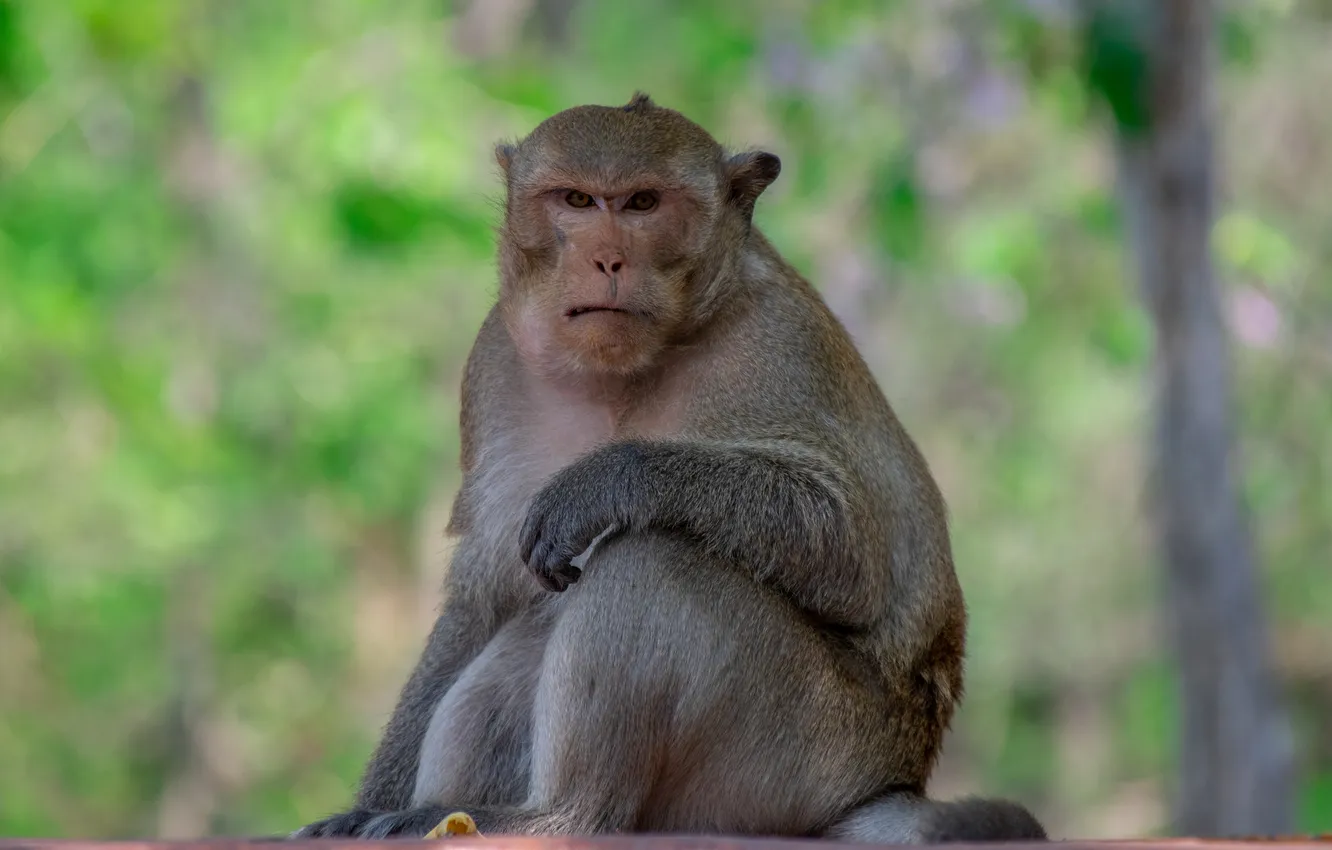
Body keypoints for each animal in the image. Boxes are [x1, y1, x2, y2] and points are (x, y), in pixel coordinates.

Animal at [290, 92, 1046, 843]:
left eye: (643, 204)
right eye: (577, 200)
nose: (607, 258)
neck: (626, 372)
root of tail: (888, 779)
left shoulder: (779, 343)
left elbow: (853, 550)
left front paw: (608, 480)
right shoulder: (496, 362)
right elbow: (483, 596)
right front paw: (360, 806)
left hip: (805, 747)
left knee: (654, 559)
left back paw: (561, 813)